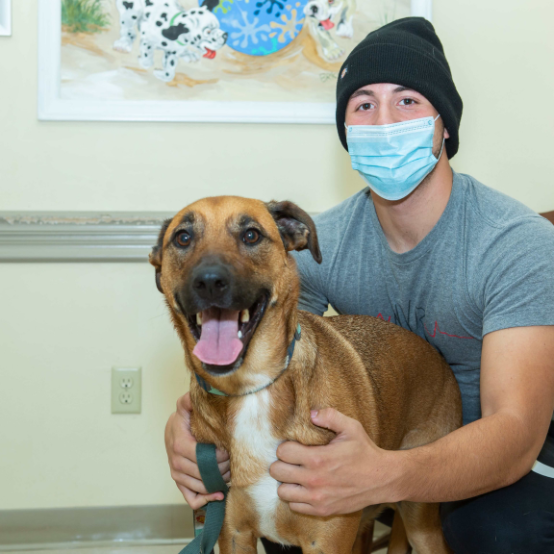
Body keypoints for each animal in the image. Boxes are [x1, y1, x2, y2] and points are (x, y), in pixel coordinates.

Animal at [149, 196, 460, 552]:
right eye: (183, 238)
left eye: (251, 235)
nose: (210, 281)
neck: (253, 390)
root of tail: (436, 354)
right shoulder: (233, 533)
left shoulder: (326, 540)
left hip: (421, 522)